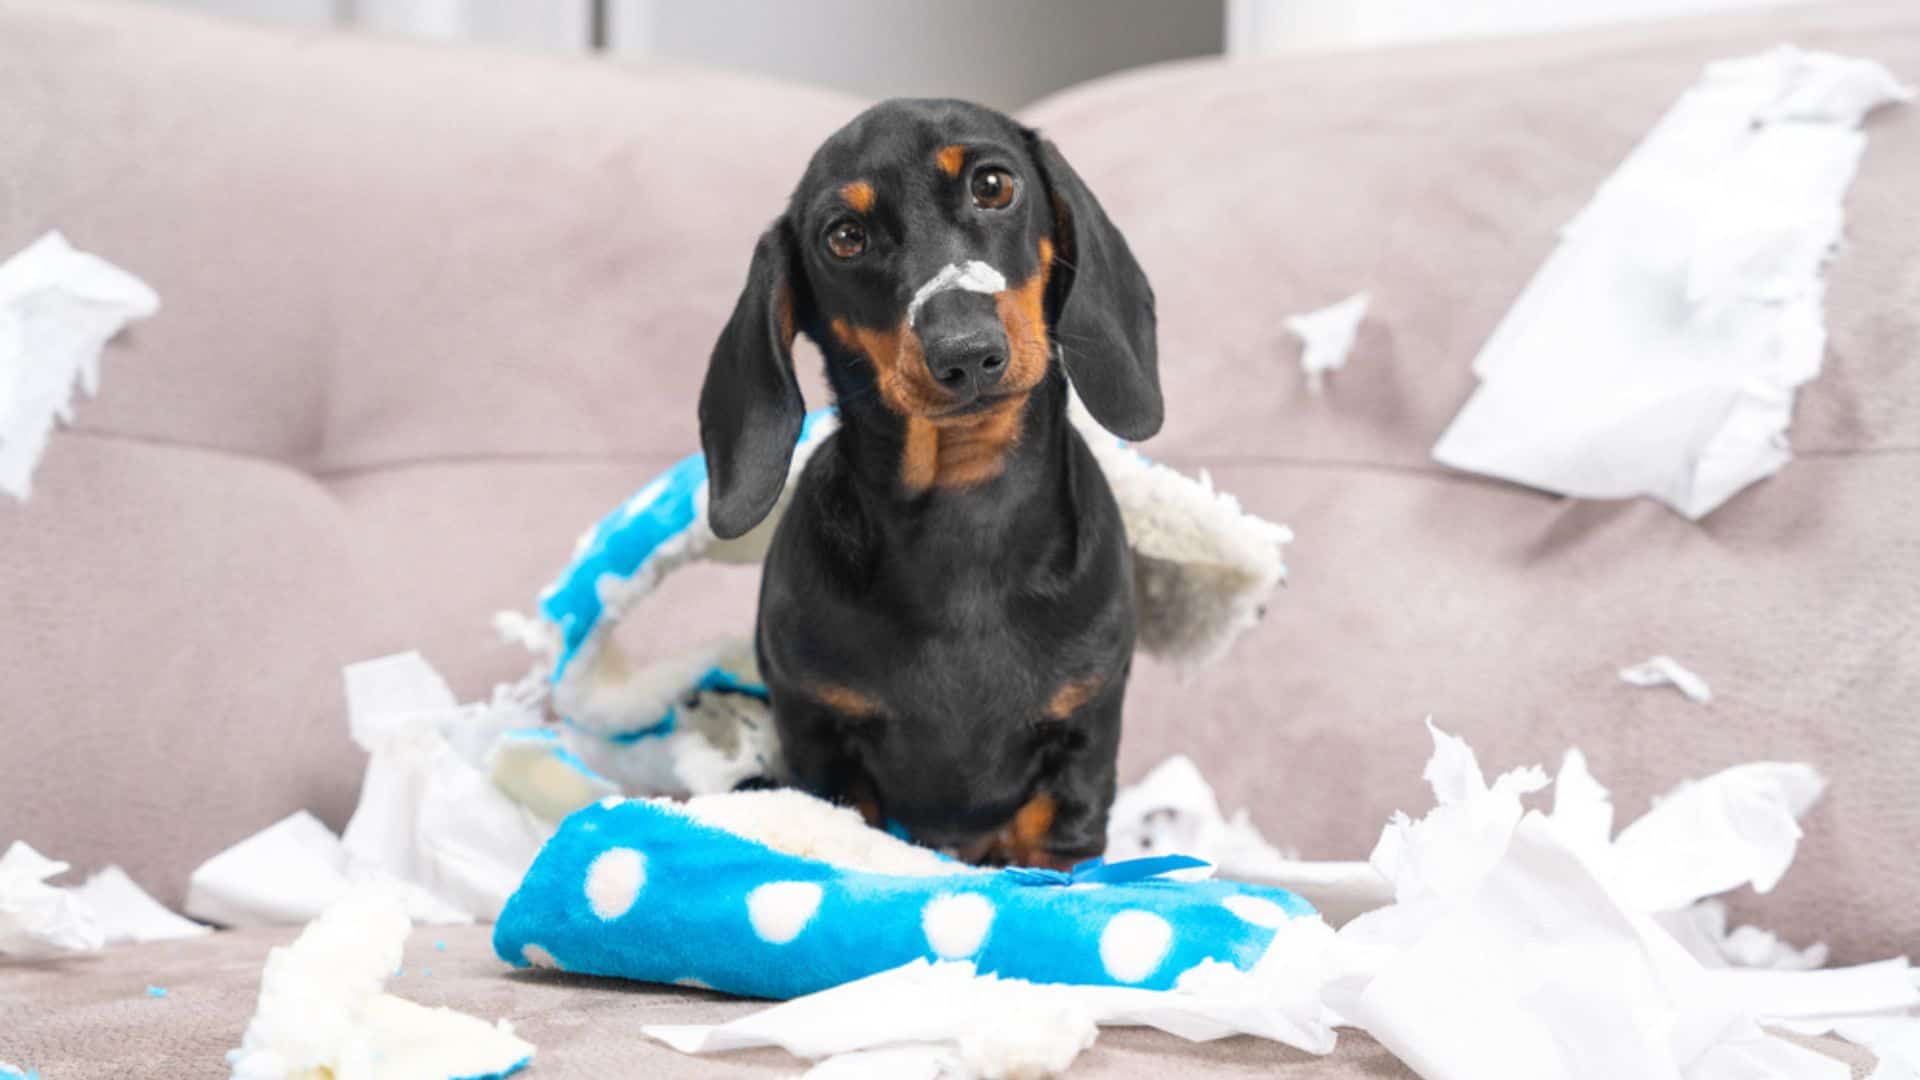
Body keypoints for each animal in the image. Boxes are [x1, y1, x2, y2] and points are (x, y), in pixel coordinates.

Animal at [702, 94, 1152, 864]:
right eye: (844, 237)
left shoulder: (1082, 746)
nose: (965, 354)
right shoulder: (820, 739)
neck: (962, 514)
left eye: (994, 185)